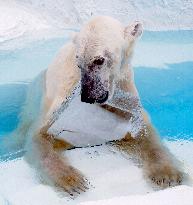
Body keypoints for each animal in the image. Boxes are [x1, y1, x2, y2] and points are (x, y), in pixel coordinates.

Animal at [5, 15, 184, 195]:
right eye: (78, 62)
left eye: (99, 60)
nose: (87, 96)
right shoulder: (62, 108)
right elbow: (40, 136)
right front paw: (72, 180)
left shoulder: (126, 97)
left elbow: (143, 134)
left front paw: (168, 175)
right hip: (36, 93)